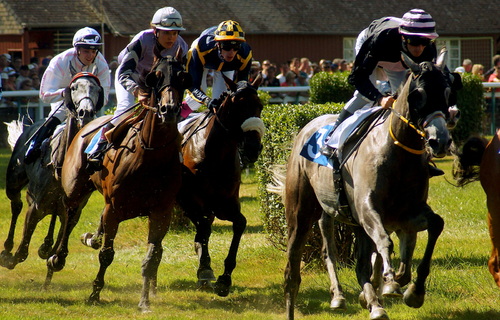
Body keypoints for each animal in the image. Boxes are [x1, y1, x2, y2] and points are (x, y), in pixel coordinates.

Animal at [0, 74, 103, 286]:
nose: (86, 112)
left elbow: (59, 252)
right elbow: (22, 251)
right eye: (74, 87)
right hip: (13, 182)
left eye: (97, 89)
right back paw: (7, 249)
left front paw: (53, 259)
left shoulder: (73, 211)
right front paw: (10, 258)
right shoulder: (36, 207)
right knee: (16, 205)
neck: (62, 167)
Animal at [51, 53, 189, 312]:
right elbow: (106, 254)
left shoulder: (161, 212)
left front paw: (144, 301)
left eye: (183, 76)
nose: (168, 109)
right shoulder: (113, 209)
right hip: (76, 189)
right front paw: (94, 294)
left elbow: (152, 256)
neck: (150, 155)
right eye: (154, 77)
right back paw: (56, 257)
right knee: (70, 217)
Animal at [178, 74, 268, 298]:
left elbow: (240, 223)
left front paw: (225, 279)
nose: (253, 148)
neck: (214, 155)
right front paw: (205, 269)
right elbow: (203, 227)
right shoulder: (192, 199)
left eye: (260, 106)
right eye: (237, 106)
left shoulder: (226, 202)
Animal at [276, 51, 462, 320]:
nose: (441, 141)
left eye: (447, 93)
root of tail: (306, 128)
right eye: (418, 95)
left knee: (359, 264)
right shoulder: (367, 209)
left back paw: (371, 302)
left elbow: (435, 225)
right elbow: (385, 242)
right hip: (301, 213)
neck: (397, 154)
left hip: (351, 222)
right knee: (295, 269)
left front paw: (414, 291)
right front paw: (391, 283)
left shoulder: (408, 214)